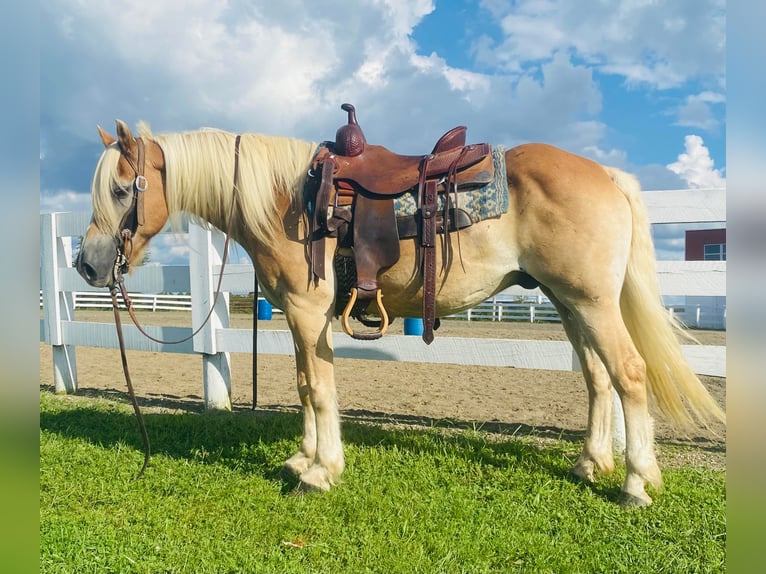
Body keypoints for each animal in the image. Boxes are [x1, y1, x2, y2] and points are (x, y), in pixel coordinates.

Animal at [76, 119, 728, 506]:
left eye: (120, 190)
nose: (86, 264)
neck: (288, 200)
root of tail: (606, 174)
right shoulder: (296, 316)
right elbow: (304, 384)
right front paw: (302, 458)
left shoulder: (309, 313)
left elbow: (319, 389)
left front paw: (321, 471)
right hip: (571, 304)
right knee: (598, 379)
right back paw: (591, 464)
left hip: (591, 303)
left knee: (629, 375)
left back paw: (637, 483)